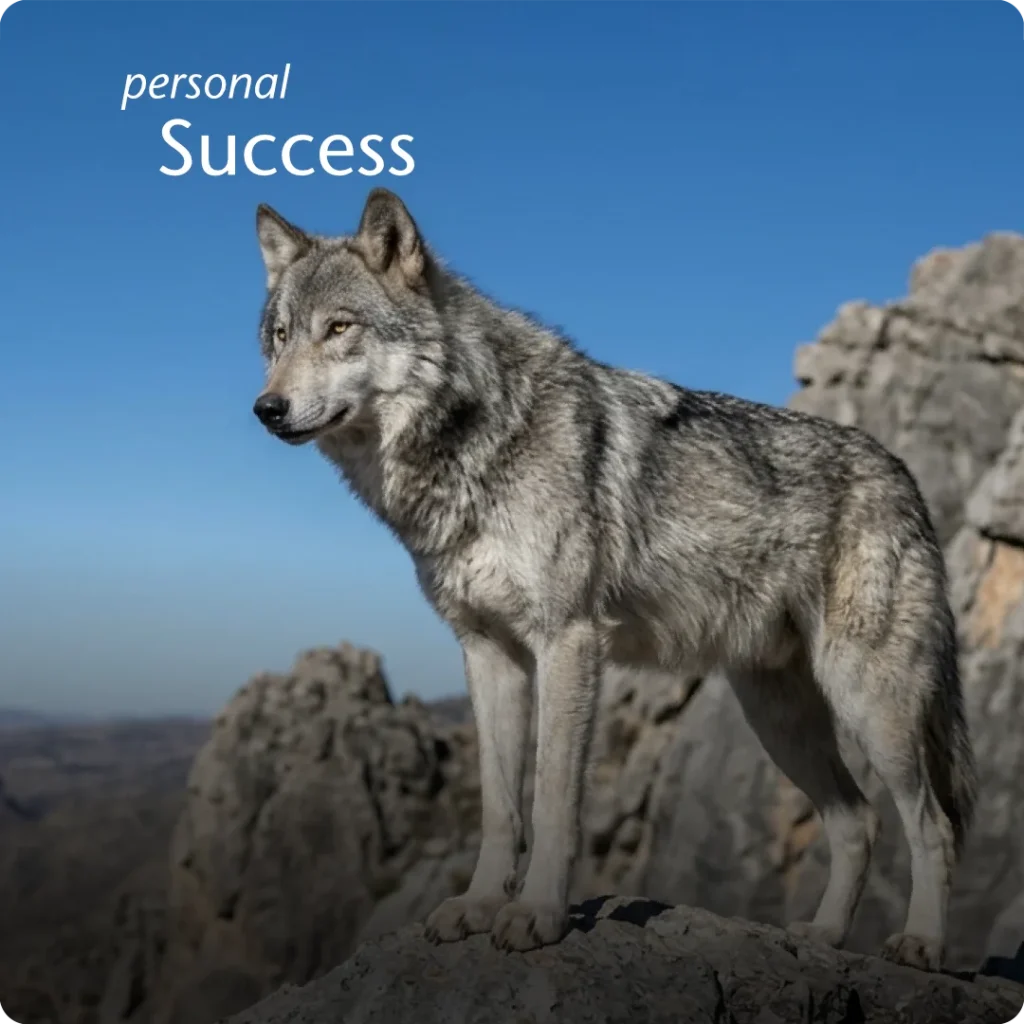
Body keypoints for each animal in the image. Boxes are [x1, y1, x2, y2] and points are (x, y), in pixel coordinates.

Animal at [250, 188, 977, 970]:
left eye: (339, 328)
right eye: (280, 337)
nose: (266, 409)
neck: (473, 447)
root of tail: (904, 475)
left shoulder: (568, 640)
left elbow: (551, 802)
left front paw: (537, 914)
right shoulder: (488, 653)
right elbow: (501, 808)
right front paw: (478, 905)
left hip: (871, 703)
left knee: (933, 824)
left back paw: (923, 942)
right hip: (777, 717)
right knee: (858, 822)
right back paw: (823, 937)